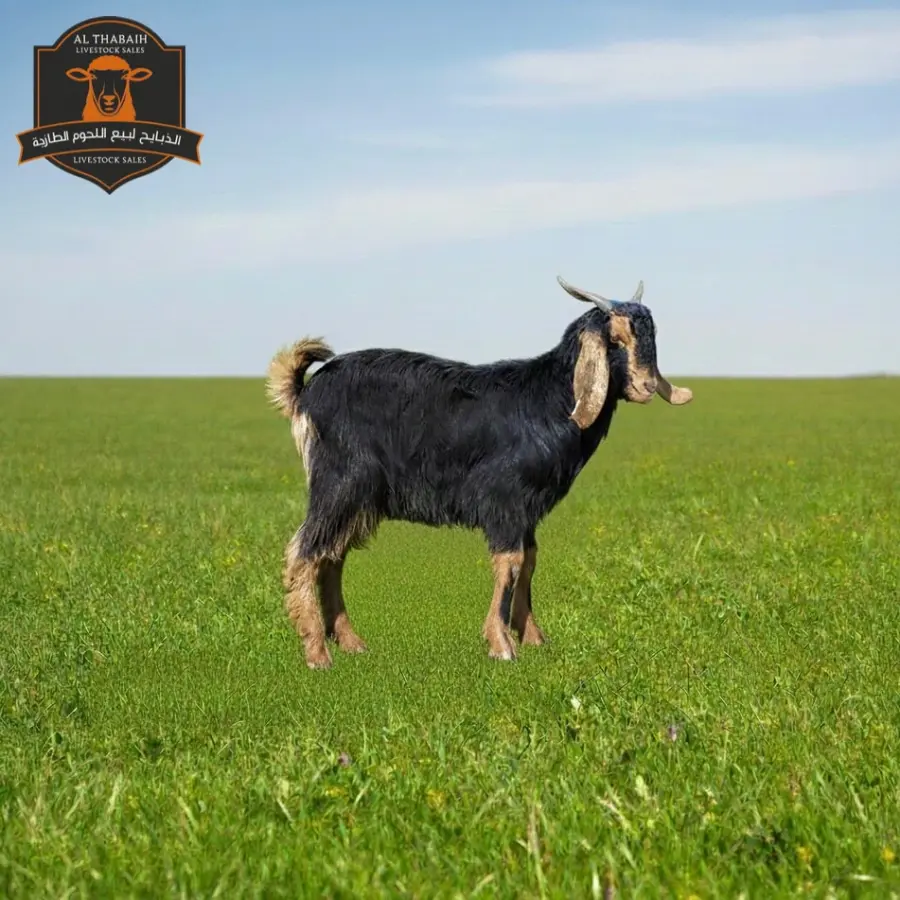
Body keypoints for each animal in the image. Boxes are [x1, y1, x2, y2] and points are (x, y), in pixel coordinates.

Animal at [267, 276, 693, 669]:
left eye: (651, 337)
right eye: (614, 340)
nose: (646, 386)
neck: (550, 400)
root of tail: (305, 393)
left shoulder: (527, 510)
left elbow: (530, 561)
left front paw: (533, 637)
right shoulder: (504, 499)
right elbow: (511, 563)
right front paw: (502, 645)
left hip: (359, 498)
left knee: (332, 556)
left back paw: (351, 643)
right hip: (340, 482)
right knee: (304, 550)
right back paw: (317, 654)